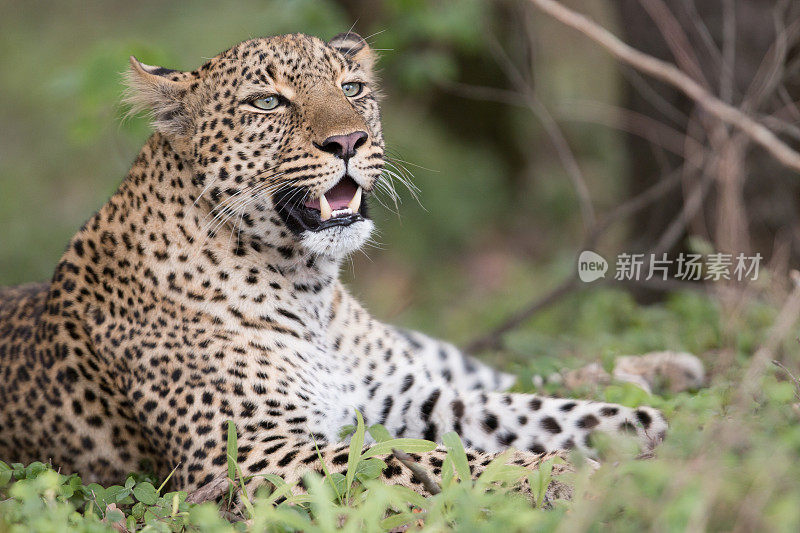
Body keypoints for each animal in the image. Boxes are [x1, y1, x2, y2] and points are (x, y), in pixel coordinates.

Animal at [0, 33, 664, 498]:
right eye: (268, 102)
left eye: (353, 89)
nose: (348, 142)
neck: (309, 286)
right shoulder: (253, 455)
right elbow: (430, 458)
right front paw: (574, 475)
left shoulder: (419, 397)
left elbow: (537, 411)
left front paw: (648, 432)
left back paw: (658, 372)